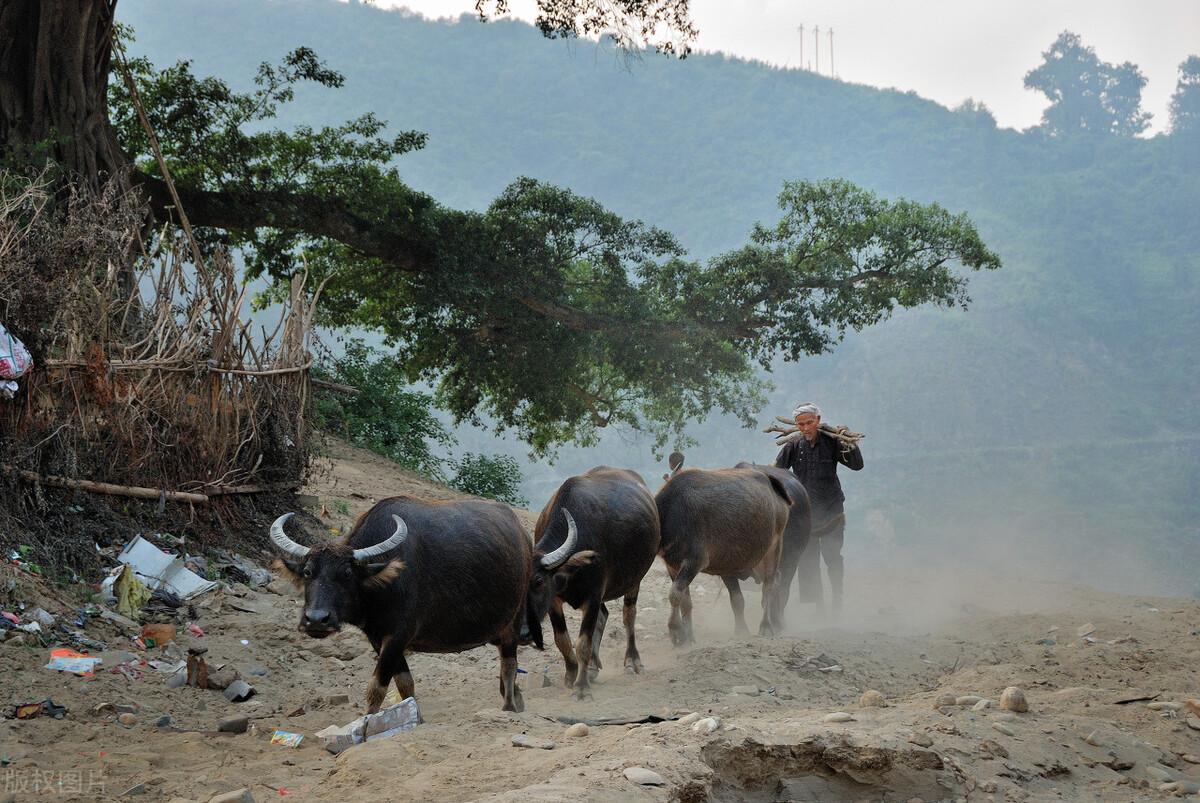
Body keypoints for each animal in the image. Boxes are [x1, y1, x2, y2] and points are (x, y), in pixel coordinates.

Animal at [272, 494, 571, 715]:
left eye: (346, 574)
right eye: (308, 572)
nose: (316, 620)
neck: (382, 580)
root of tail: (522, 536)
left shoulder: (398, 635)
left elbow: (376, 688)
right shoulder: (378, 637)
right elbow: (405, 683)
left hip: (513, 619)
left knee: (509, 663)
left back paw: (509, 705)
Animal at [530, 465, 662, 696]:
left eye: (538, 581)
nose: (525, 630)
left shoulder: (592, 596)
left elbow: (583, 642)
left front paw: (581, 688)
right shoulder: (554, 600)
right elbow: (562, 640)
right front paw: (571, 674)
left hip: (634, 580)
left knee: (629, 616)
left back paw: (632, 661)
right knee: (604, 615)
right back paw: (592, 666)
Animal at [652, 456, 792, 643]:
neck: (669, 514)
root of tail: (773, 484)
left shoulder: (694, 561)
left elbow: (674, 594)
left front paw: (676, 632)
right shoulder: (673, 566)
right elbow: (685, 601)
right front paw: (688, 637)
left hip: (772, 550)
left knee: (768, 586)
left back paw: (766, 626)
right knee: (768, 584)